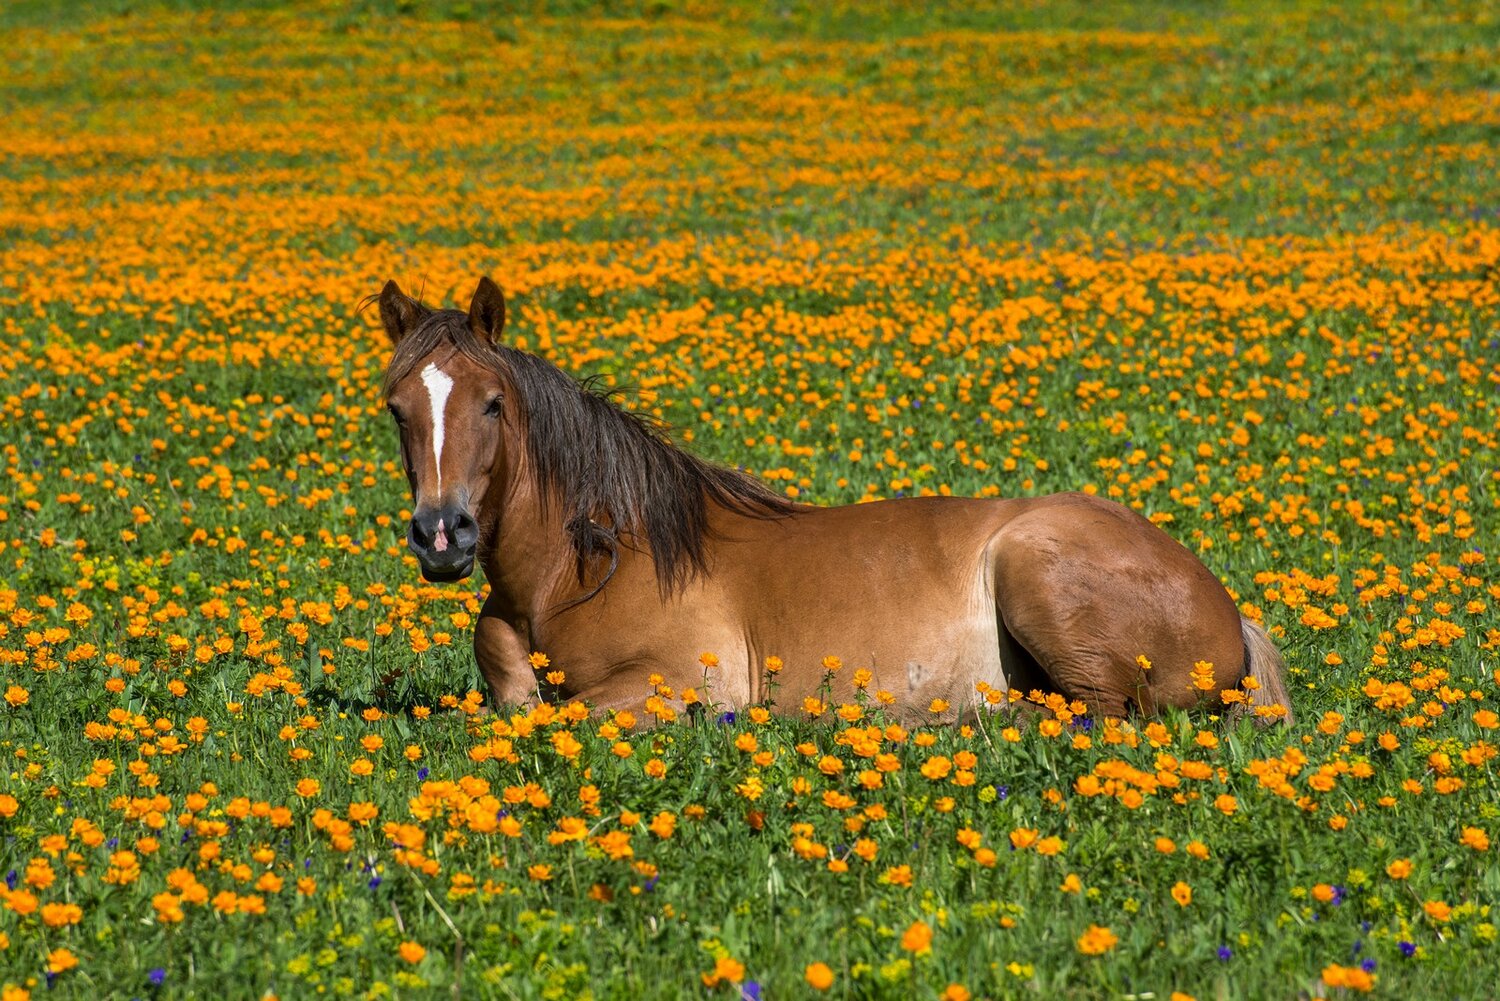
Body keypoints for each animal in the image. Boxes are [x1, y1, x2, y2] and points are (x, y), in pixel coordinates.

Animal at [374, 277, 1291, 726]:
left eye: (492, 404)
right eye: (396, 406)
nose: (443, 534)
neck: (582, 567)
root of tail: (1225, 606)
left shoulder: (686, 683)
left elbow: (554, 716)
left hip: (1033, 565)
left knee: (1094, 714)